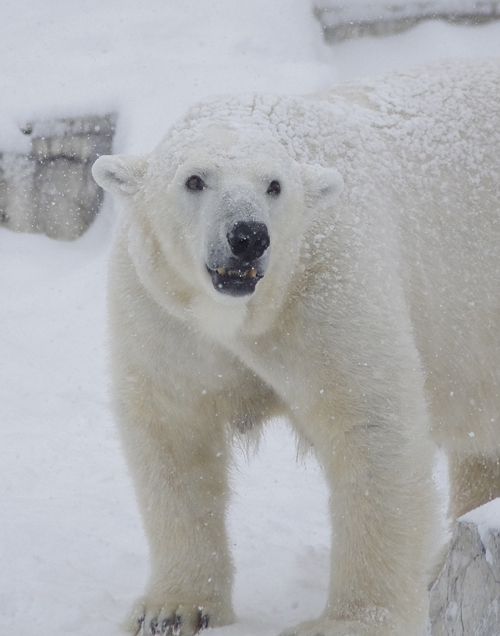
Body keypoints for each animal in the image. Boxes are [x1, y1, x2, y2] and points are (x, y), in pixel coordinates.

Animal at [93, 60, 500, 636]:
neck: (245, 311)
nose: (247, 236)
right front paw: (172, 610)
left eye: (274, 185)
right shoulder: (161, 311)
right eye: (194, 179)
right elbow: (173, 430)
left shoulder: (326, 287)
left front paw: (349, 621)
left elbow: (369, 426)